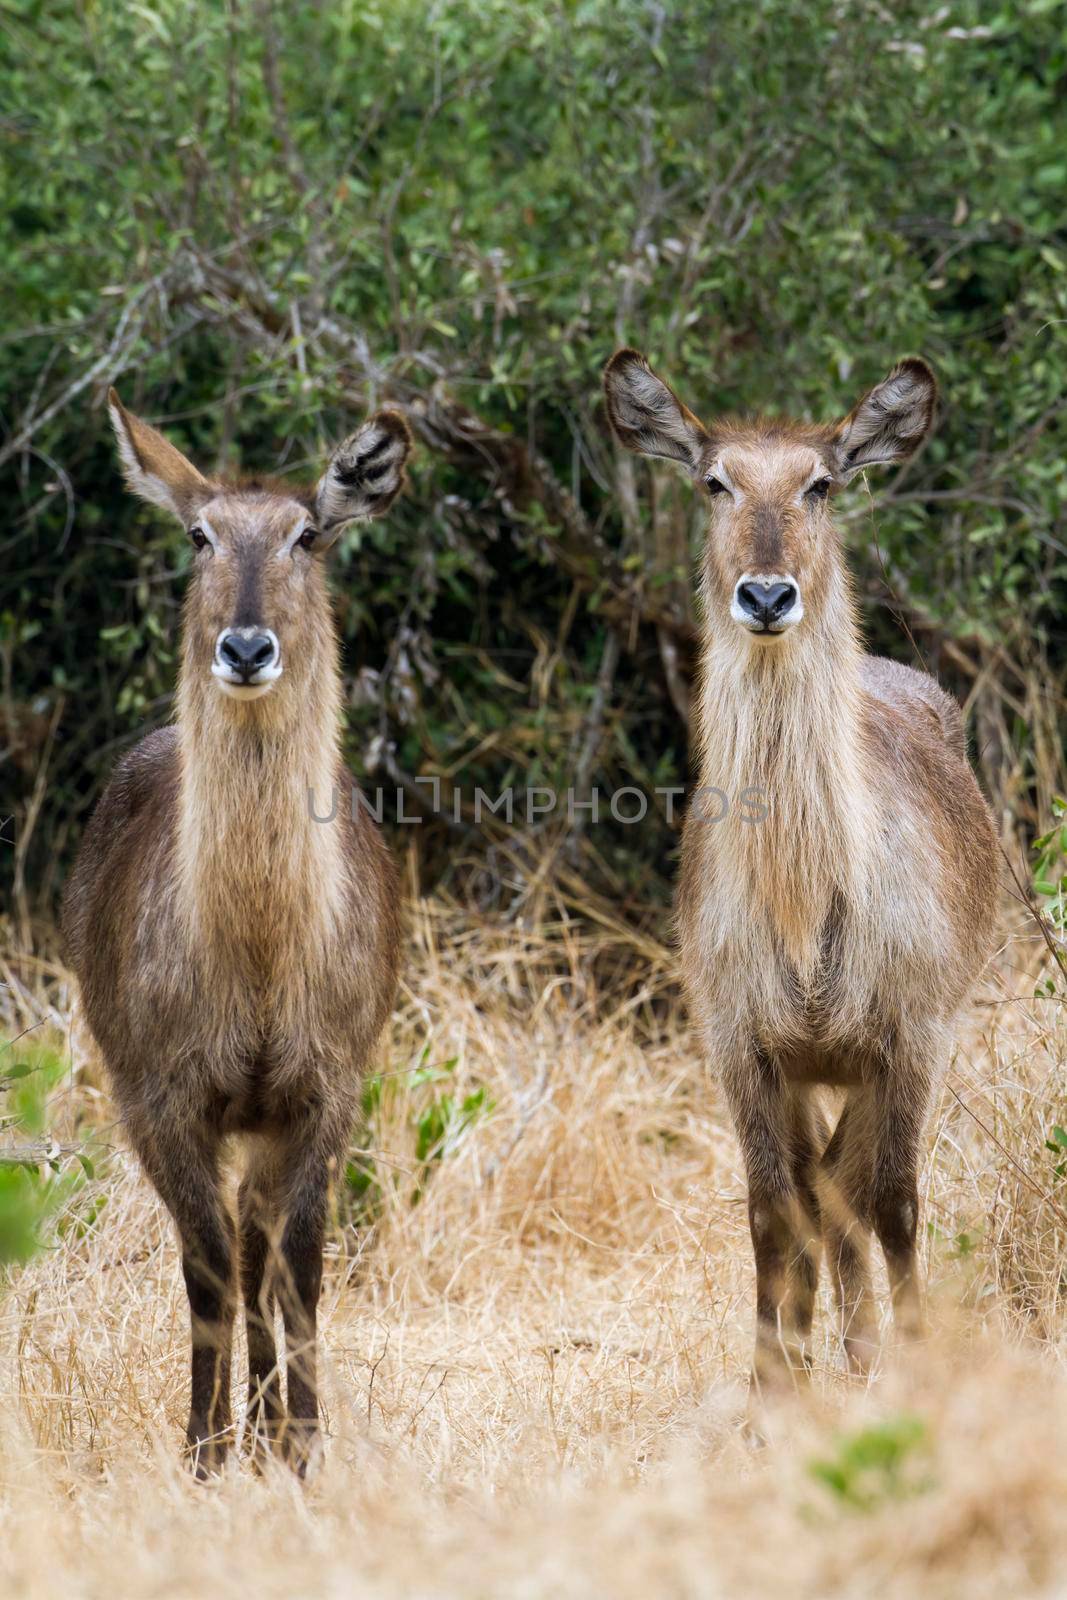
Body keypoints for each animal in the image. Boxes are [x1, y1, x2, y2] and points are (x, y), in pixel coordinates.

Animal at [62, 390, 412, 1472]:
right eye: (198, 534)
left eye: (307, 534)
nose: (247, 648)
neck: (256, 953)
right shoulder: (161, 1099)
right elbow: (206, 1266)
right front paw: (205, 1451)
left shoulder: (321, 1090)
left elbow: (294, 1266)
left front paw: (299, 1444)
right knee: (225, 1249)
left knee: (261, 1247)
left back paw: (267, 1426)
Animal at [607, 347, 1004, 1388]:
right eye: (714, 481)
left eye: (819, 483)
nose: (766, 596)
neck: (807, 902)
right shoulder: (742, 1044)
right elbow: (768, 1213)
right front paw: (771, 1388)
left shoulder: (908, 1037)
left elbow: (894, 1201)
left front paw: (916, 1369)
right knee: (816, 1191)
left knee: (846, 1186)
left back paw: (866, 1355)